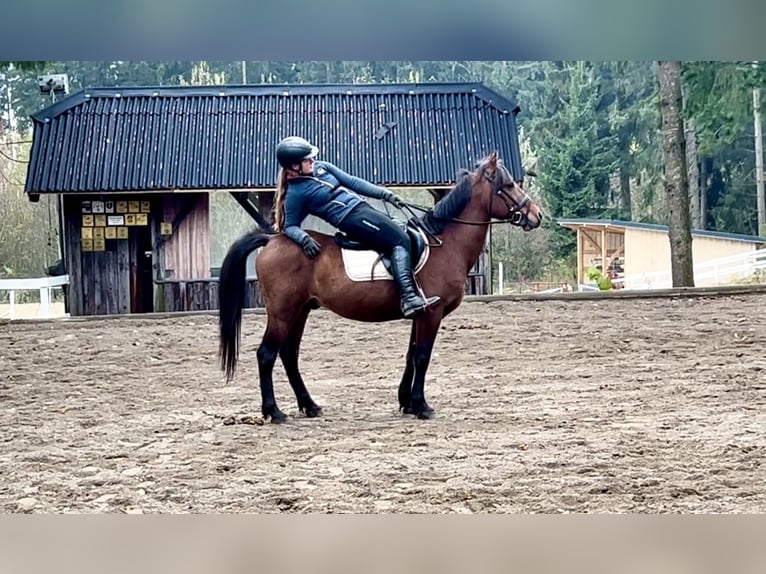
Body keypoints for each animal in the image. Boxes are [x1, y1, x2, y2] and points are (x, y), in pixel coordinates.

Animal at [218, 153, 544, 424]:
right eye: (509, 185)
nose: (536, 214)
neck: (446, 242)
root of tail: (273, 239)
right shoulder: (432, 313)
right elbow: (422, 356)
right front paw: (421, 406)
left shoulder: (421, 312)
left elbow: (411, 355)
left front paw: (407, 402)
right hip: (282, 312)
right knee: (267, 354)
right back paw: (273, 411)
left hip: (300, 311)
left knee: (288, 354)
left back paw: (309, 406)